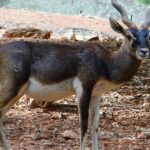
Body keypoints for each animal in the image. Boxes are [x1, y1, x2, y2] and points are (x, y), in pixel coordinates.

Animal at [0, 0, 149, 150]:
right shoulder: (83, 88)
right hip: (11, 90)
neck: (107, 63)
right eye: (129, 36)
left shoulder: (97, 94)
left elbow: (95, 126)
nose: (144, 51)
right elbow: (83, 125)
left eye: (147, 36)